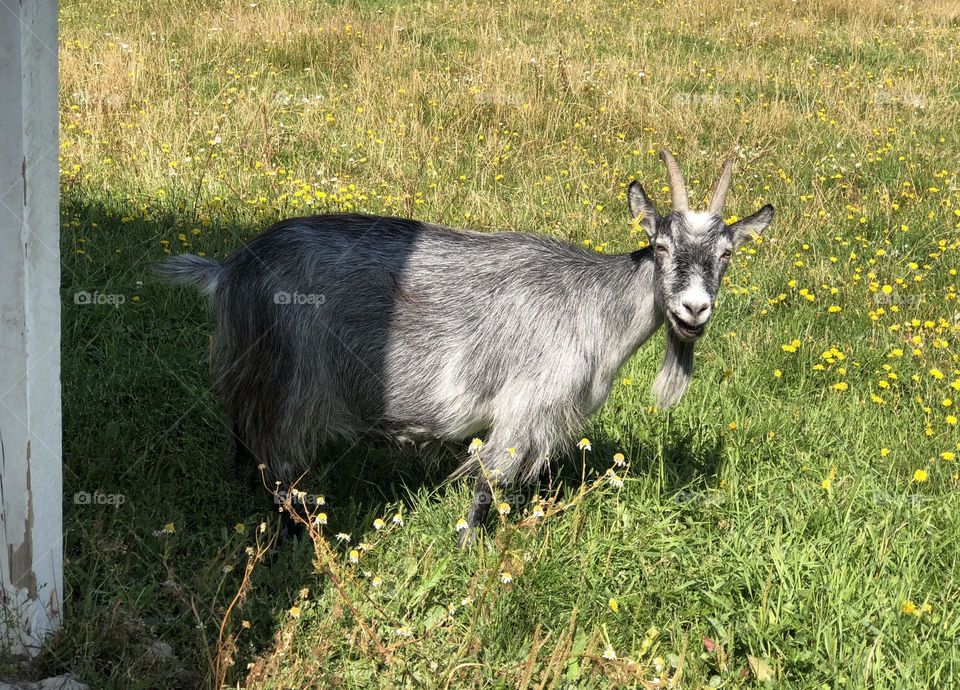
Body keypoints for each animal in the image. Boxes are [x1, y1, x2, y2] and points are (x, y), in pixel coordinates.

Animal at [158, 152, 772, 544]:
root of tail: (229, 270)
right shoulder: (526, 405)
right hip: (290, 379)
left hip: (252, 369)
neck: (594, 306)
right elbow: (487, 485)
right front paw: (466, 549)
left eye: (726, 254)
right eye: (662, 245)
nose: (694, 309)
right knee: (278, 462)